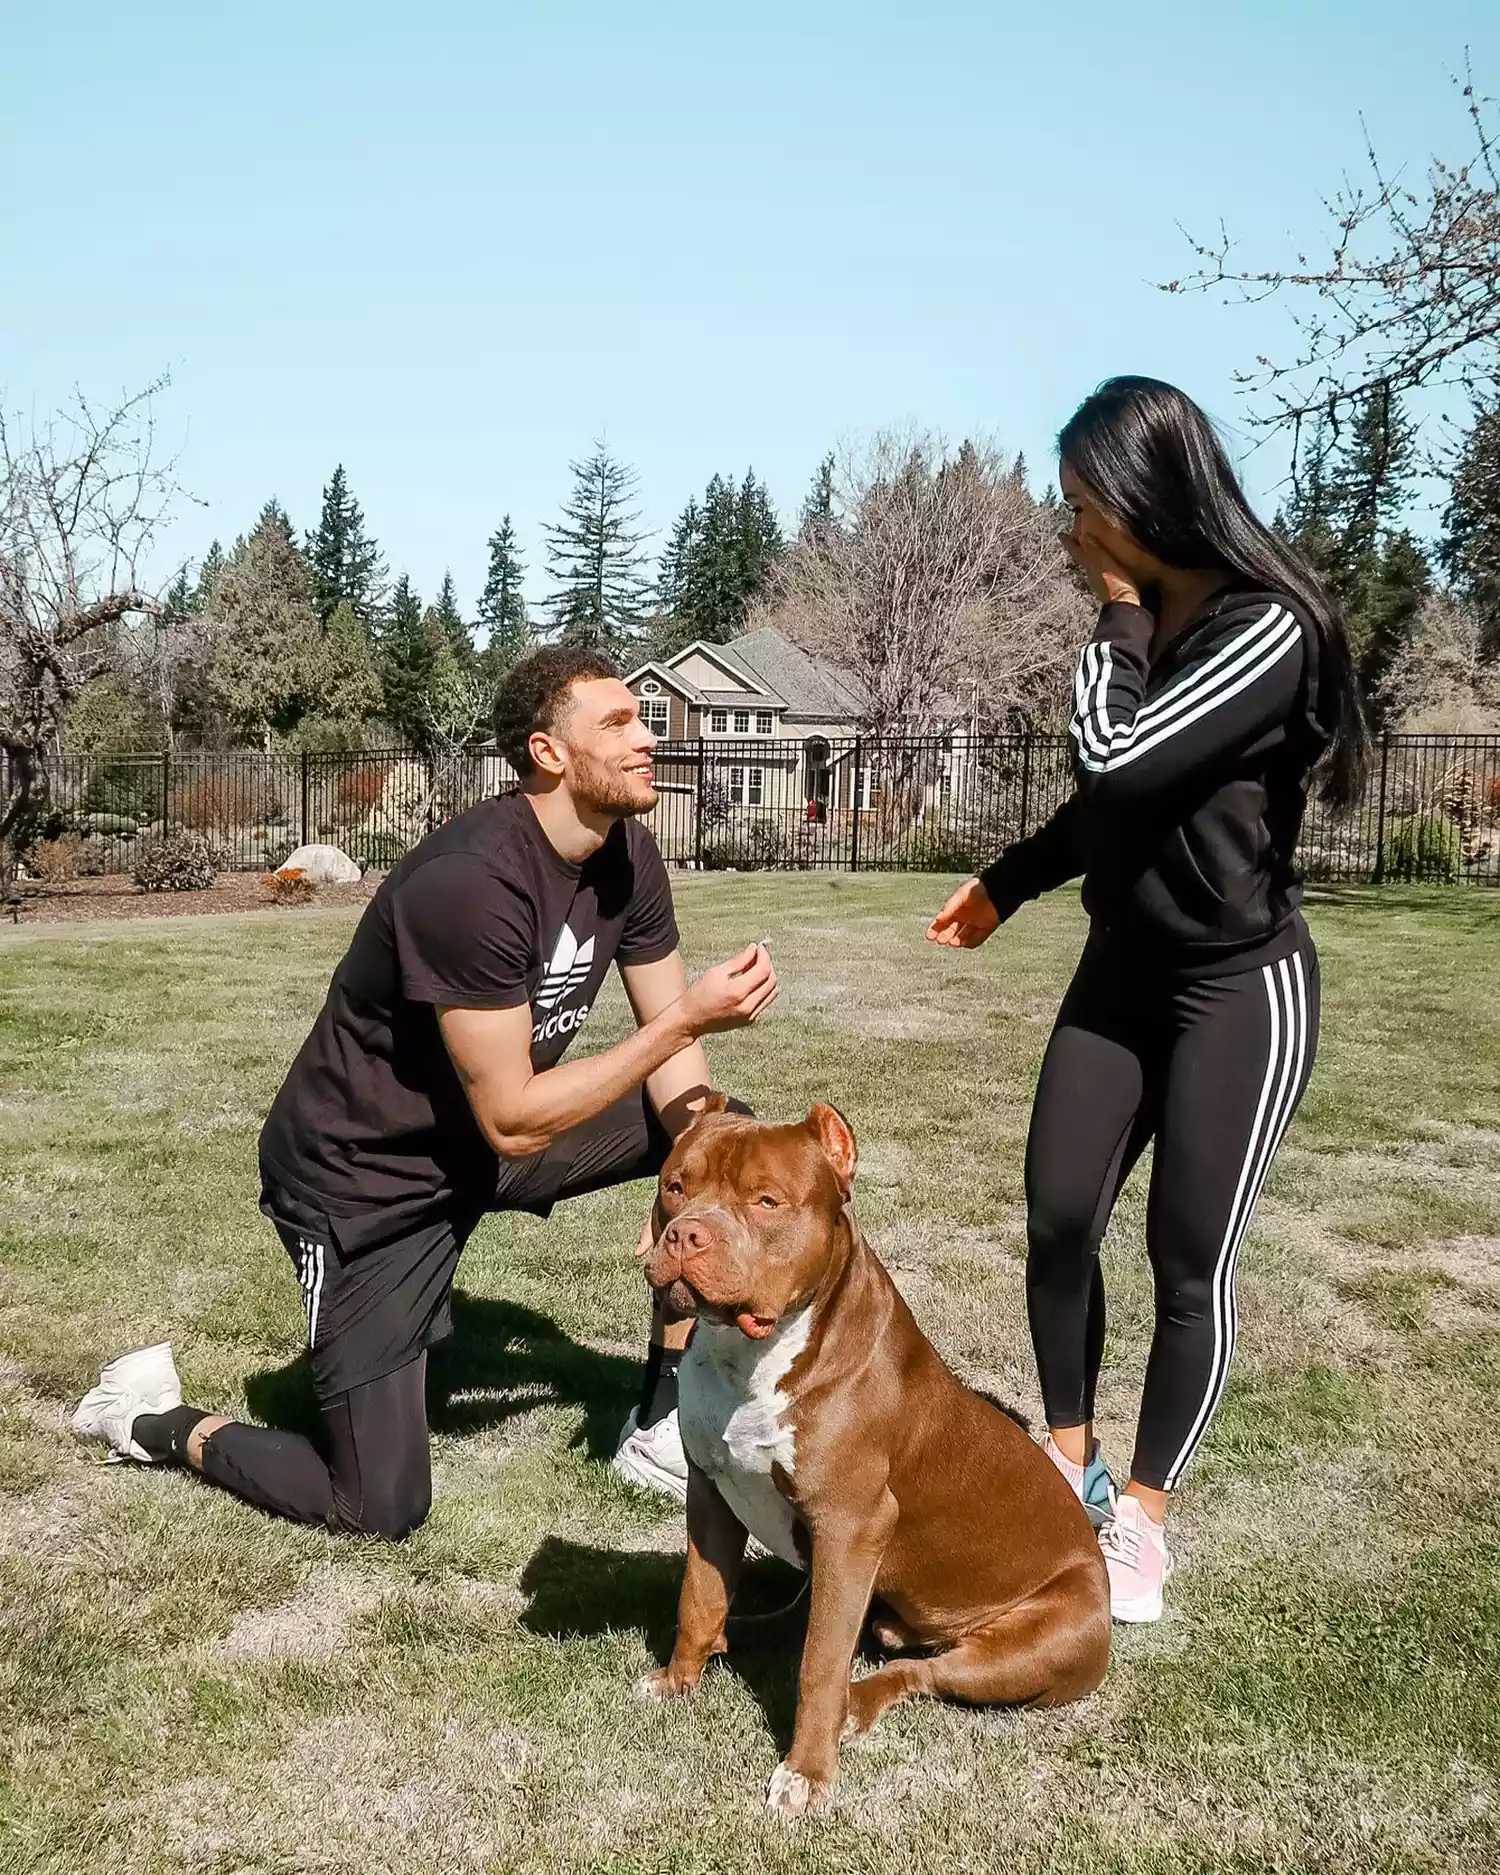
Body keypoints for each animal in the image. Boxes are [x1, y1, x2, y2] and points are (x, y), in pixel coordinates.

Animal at [637, 1095, 1110, 1815]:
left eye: (767, 1201)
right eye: (675, 1187)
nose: (687, 1235)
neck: (754, 1353)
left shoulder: (851, 1524)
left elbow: (821, 1663)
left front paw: (807, 1770)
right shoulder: (711, 1491)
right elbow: (700, 1597)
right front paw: (677, 1677)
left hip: (1032, 1645)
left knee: (918, 1670)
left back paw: (855, 1704)